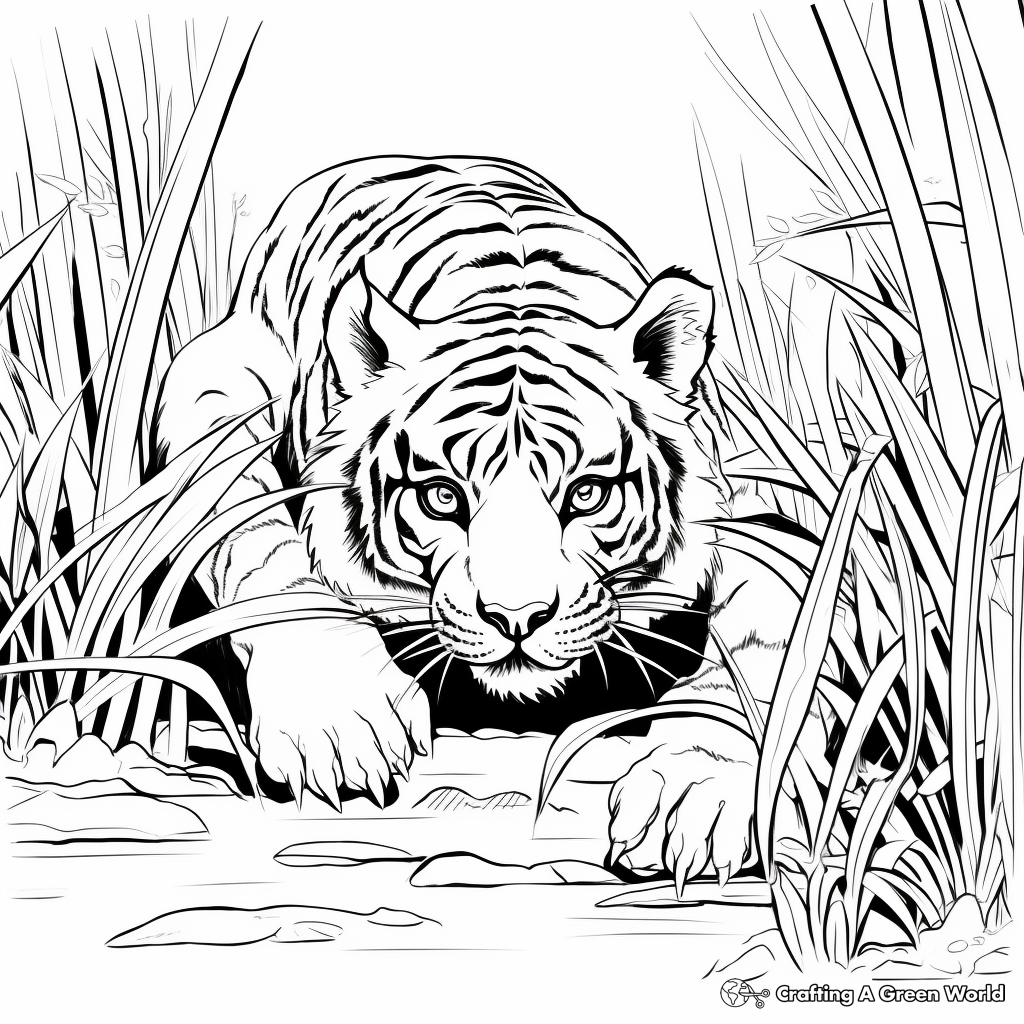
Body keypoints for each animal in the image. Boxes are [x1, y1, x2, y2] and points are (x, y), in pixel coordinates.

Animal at [153, 155, 797, 889]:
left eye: (586, 495)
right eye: (442, 498)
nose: (517, 620)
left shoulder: (758, 525)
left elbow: (768, 644)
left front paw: (695, 796)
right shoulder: (210, 384)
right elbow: (261, 550)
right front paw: (340, 720)